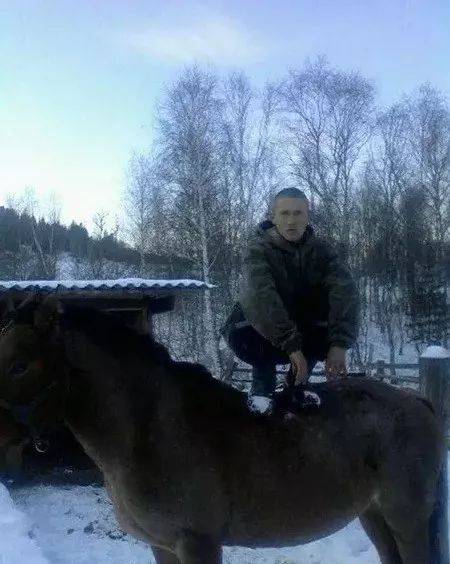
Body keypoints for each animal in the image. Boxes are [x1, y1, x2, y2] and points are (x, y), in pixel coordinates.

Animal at [0, 297, 444, 564]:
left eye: (19, 364)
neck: (148, 432)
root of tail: (418, 401)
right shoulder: (161, 545)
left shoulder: (197, 543)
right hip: (374, 514)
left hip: (406, 517)